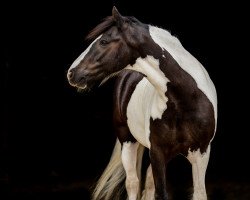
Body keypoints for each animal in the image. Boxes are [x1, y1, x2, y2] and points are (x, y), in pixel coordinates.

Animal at [66, 6, 217, 200]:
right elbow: (158, 192)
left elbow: (198, 192)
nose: (72, 73)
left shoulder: (202, 153)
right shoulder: (157, 152)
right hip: (128, 141)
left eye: (104, 41)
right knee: (132, 183)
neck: (185, 100)